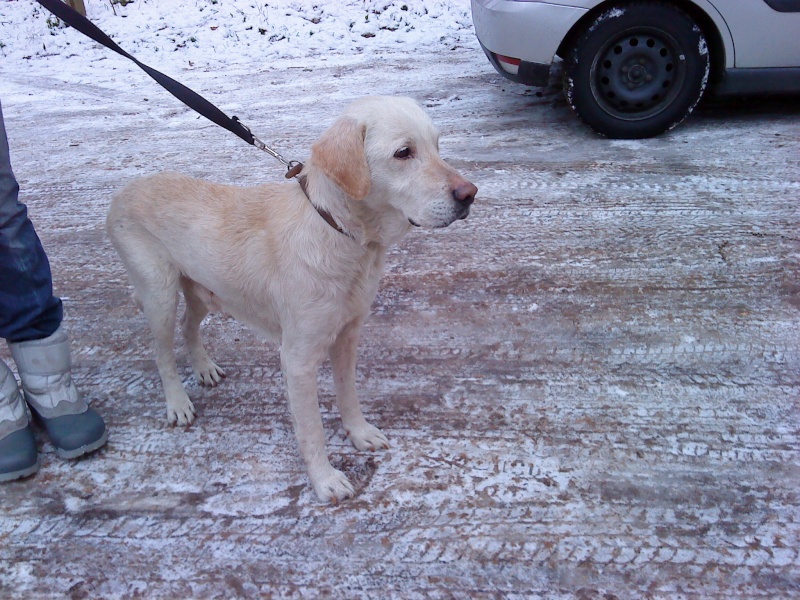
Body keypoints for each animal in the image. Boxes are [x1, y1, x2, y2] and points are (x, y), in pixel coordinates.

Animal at [109, 97, 478, 502]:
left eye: (437, 146)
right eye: (403, 153)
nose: (470, 194)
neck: (340, 232)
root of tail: (123, 191)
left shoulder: (348, 336)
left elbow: (348, 395)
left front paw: (359, 433)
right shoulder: (297, 359)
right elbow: (312, 429)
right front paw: (325, 480)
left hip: (204, 290)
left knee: (189, 327)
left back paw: (204, 367)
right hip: (159, 294)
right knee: (161, 351)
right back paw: (177, 403)